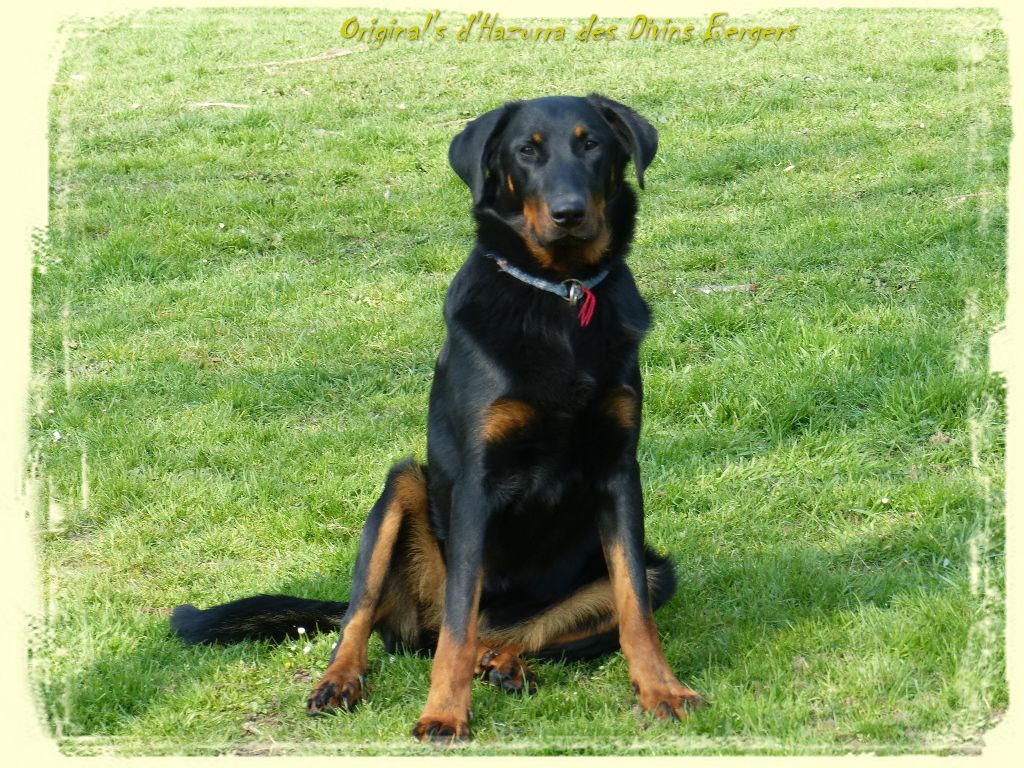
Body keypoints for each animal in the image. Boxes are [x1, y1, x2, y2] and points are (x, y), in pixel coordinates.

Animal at [171, 94, 705, 742]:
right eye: (526, 151)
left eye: (592, 144)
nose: (569, 213)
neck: (558, 291)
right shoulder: (477, 485)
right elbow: (456, 622)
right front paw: (444, 713)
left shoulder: (619, 473)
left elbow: (635, 611)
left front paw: (662, 689)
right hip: (402, 492)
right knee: (369, 620)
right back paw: (341, 681)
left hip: (654, 573)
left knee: (527, 634)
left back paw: (505, 665)